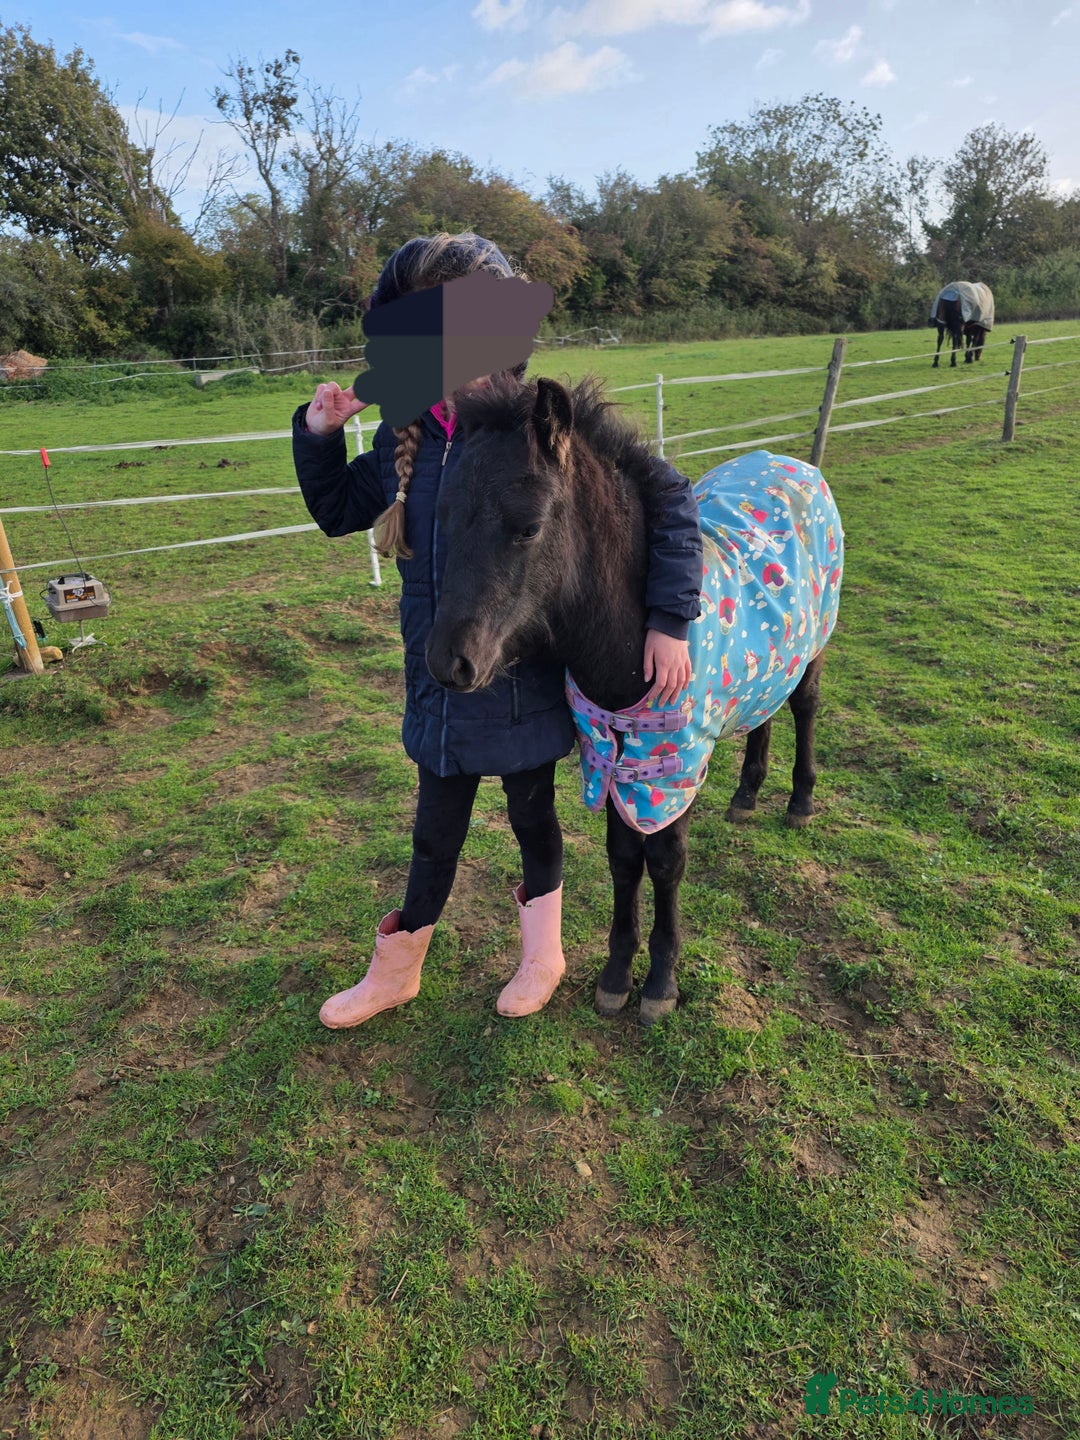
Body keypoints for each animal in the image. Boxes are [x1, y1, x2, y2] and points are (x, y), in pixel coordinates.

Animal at [426, 377, 843, 1025]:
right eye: (443, 517)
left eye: (528, 527)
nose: (450, 663)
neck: (635, 642)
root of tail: (794, 463)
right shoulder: (608, 758)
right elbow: (623, 857)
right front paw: (617, 974)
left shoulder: (673, 767)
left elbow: (665, 860)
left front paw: (661, 982)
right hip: (771, 660)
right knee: (763, 713)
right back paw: (747, 794)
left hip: (814, 644)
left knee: (804, 707)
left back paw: (800, 800)